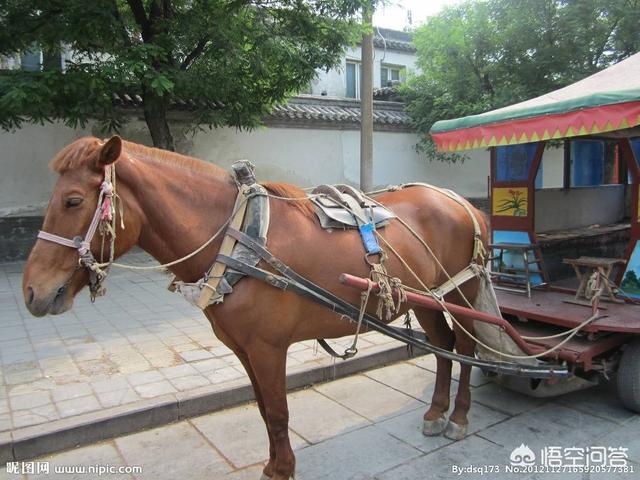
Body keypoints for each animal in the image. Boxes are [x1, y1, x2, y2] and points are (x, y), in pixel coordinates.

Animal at [22, 136, 489, 480]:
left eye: (73, 201)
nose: (31, 291)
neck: (238, 238)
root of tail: (461, 201)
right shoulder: (243, 349)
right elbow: (265, 410)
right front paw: (273, 463)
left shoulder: (268, 348)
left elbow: (279, 412)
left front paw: (282, 469)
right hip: (428, 297)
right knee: (442, 346)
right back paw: (436, 410)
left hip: (461, 292)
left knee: (465, 349)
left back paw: (460, 416)